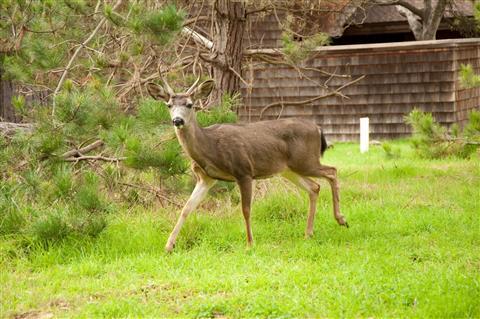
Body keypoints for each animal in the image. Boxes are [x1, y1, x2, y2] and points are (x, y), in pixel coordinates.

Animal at [146, 77, 348, 252]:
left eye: (189, 104)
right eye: (169, 105)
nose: (177, 120)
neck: (209, 146)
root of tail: (318, 128)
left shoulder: (243, 170)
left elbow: (246, 209)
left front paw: (250, 243)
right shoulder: (205, 178)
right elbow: (186, 208)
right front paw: (168, 246)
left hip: (306, 160)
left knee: (332, 171)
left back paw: (341, 219)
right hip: (288, 169)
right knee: (314, 187)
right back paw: (309, 233)